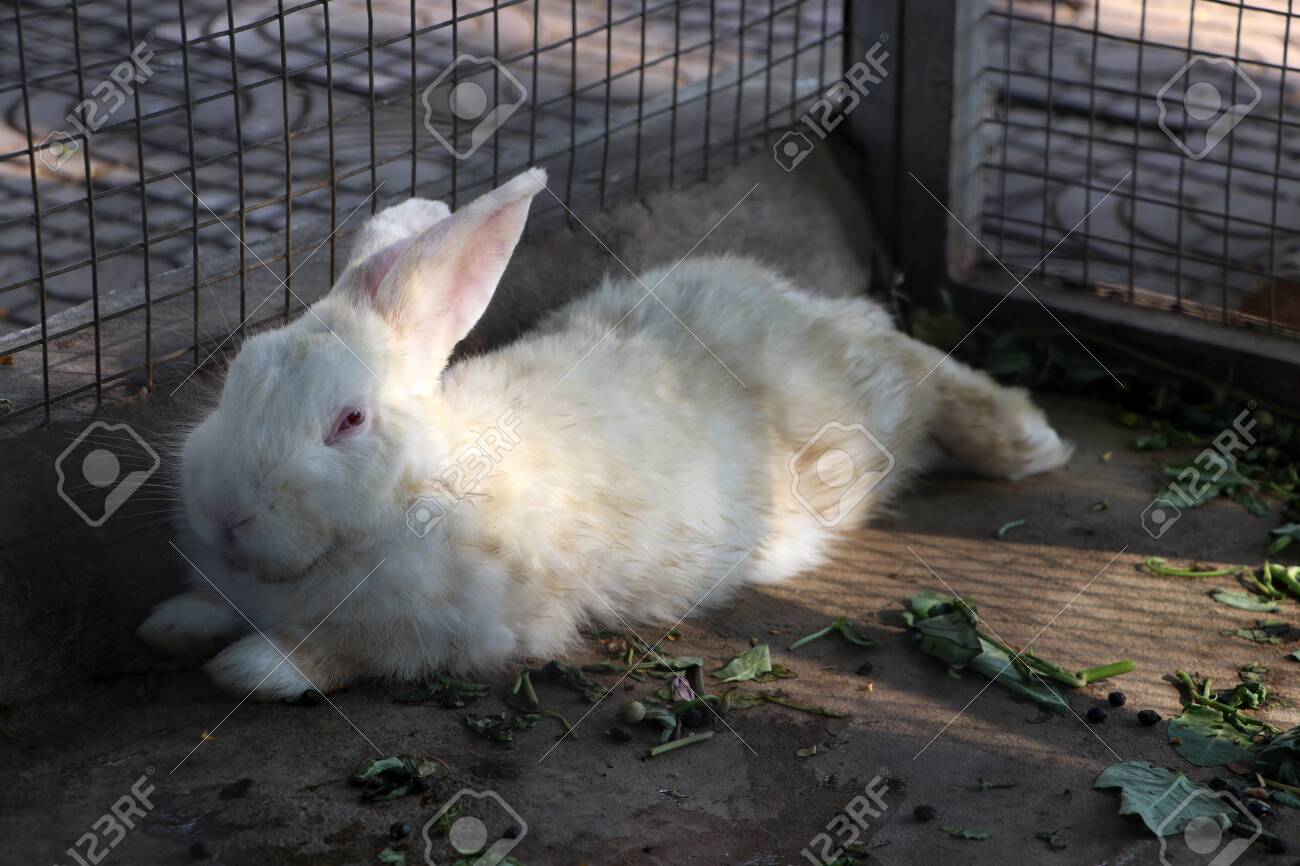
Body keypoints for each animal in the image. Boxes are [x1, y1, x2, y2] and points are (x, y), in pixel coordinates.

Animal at [137, 167, 1073, 699]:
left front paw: (254, 669)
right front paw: (174, 625)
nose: (223, 513)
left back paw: (1030, 442)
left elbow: (342, 654)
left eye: (349, 421)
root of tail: (791, 301)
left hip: (862, 414)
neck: (423, 485)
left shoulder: (447, 634)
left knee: (919, 367)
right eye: (240, 373)